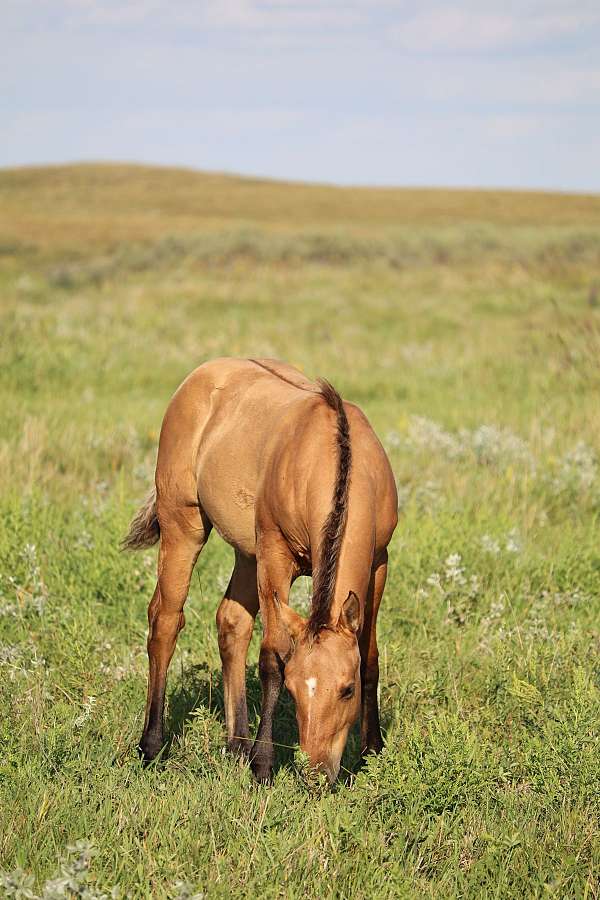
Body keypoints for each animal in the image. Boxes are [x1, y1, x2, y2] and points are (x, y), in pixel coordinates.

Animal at [122, 356, 398, 780]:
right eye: (294, 689)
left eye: (346, 689)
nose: (317, 774)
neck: (329, 457)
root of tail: (201, 375)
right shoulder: (274, 555)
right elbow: (272, 656)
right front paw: (263, 765)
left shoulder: (378, 560)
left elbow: (369, 655)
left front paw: (372, 751)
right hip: (183, 525)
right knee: (165, 619)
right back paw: (152, 746)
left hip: (245, 553)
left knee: (232, 622)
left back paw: (236, 744)